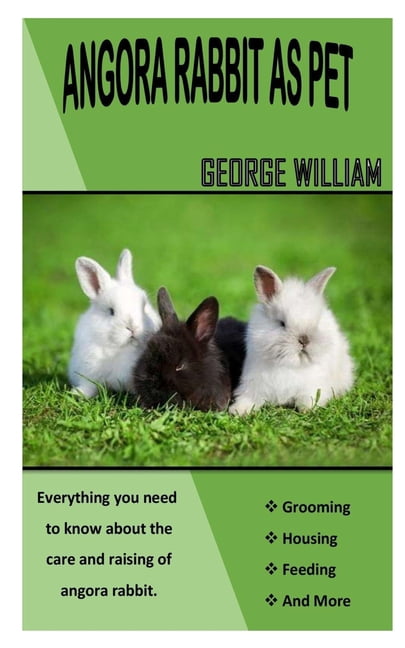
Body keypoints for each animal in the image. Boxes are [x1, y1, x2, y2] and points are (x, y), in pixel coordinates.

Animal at [68, 249, 161, 398]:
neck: (123, 348)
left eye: (144, 306)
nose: (132, 327)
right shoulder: (88, 369)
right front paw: (78, 394)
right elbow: (89, 385)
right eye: (111, 311)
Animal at [229, 265, 354, 415]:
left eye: (316, 323)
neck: (290, 364)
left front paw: (308, 410)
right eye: (282, 323)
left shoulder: (312, 387)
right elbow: (249, 399)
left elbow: (309, 399)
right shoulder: (253, 384)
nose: (304, 339)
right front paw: (238, 411)